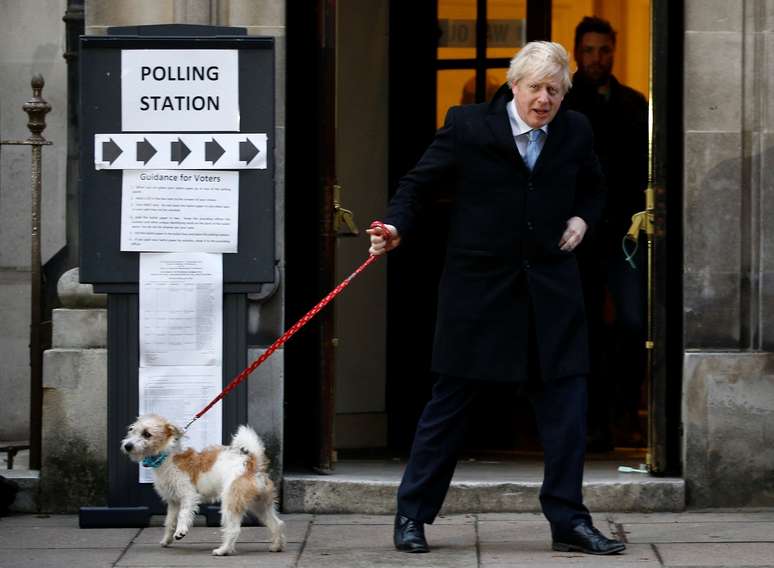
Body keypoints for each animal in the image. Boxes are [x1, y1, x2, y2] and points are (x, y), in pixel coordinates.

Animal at [123, 412, 286, 556]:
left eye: (146, 434)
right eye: (132, 430)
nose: (127, 446)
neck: (166, 458)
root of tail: (252, 465)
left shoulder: (188, 496)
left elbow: (183, 515)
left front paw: (181, 531)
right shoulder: (174, 502)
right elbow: (169, 522)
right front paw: (166, 540)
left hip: (231, 503)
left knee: (233, 529)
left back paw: (223, 550)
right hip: (260, 505)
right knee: (276, 523)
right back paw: (276, 546)